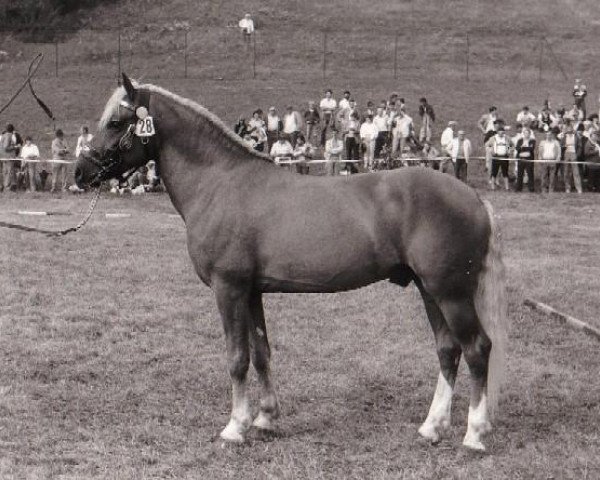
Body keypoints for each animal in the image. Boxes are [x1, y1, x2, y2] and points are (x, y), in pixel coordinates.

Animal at [75, 76, 506, 454]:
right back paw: (432, 428)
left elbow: (237, 358)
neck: (220, 183)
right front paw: (266, 418)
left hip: (451, 293)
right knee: (448, 350)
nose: (81, 172)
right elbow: (261, 352)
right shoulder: (251, 291)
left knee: (477, 348)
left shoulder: (228, 288)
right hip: (429, 290)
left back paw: (474, 434)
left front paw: (235, 427)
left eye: (115, 123)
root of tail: (473, 198)